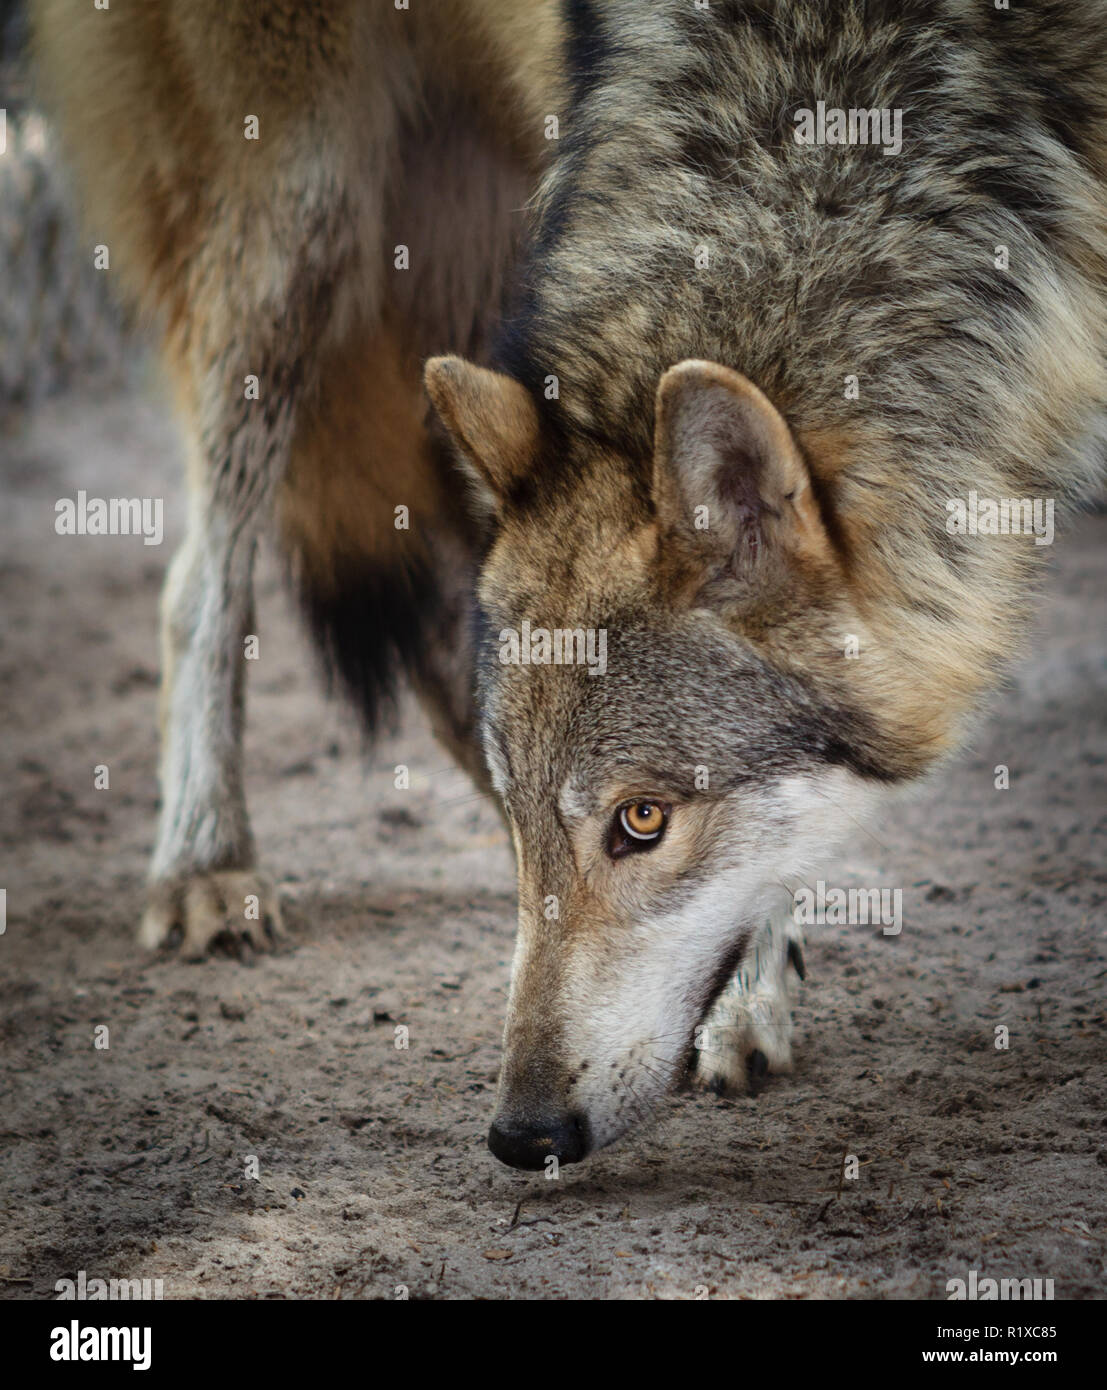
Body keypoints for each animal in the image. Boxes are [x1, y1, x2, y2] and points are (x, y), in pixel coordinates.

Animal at [33, 0, 1107, 1169]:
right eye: (538, 819)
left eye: (641, 821)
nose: (521, 1134)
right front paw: (753, 989)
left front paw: (751, 993)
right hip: (300, 212)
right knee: (202, 574)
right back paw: (204, 863)